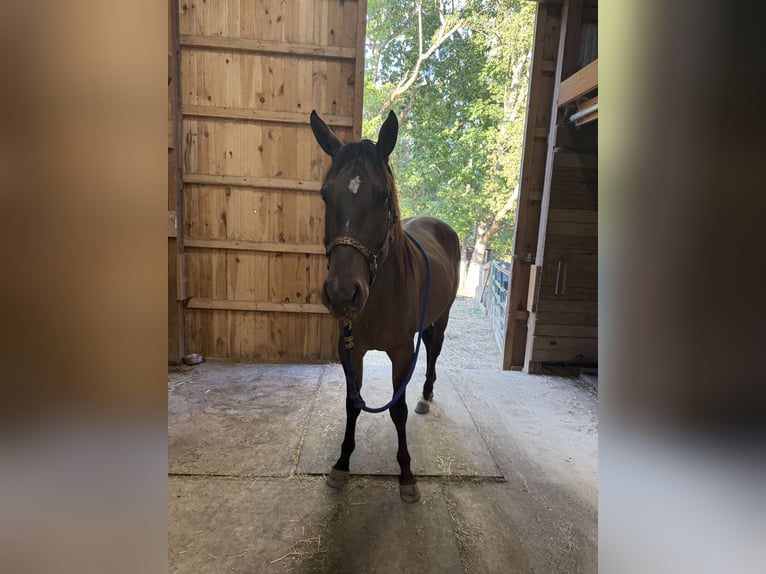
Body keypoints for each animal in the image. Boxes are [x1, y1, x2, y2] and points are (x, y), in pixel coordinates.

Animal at [309, 109, 461, 502]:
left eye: (381, 197)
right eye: (325, 194)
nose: (343, 293)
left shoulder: (402, 352)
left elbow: (398, 410)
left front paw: (406, 474)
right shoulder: (350, 348)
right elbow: (353, 402)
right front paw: (342, 464)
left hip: (441, 320)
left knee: (433, 353)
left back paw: (426, 395)